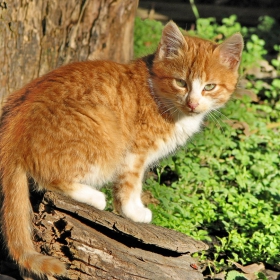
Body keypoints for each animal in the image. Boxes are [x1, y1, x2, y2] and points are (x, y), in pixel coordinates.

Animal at [0, 20, 243, 276]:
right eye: (180, 83)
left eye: (210, 87)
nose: (193, 103)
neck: (158, 94)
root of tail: (12, 136)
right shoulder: (135, 151)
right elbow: (130, 183)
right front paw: (133, 211)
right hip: (105, 132)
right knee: (49, 179)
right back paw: (95, 197)